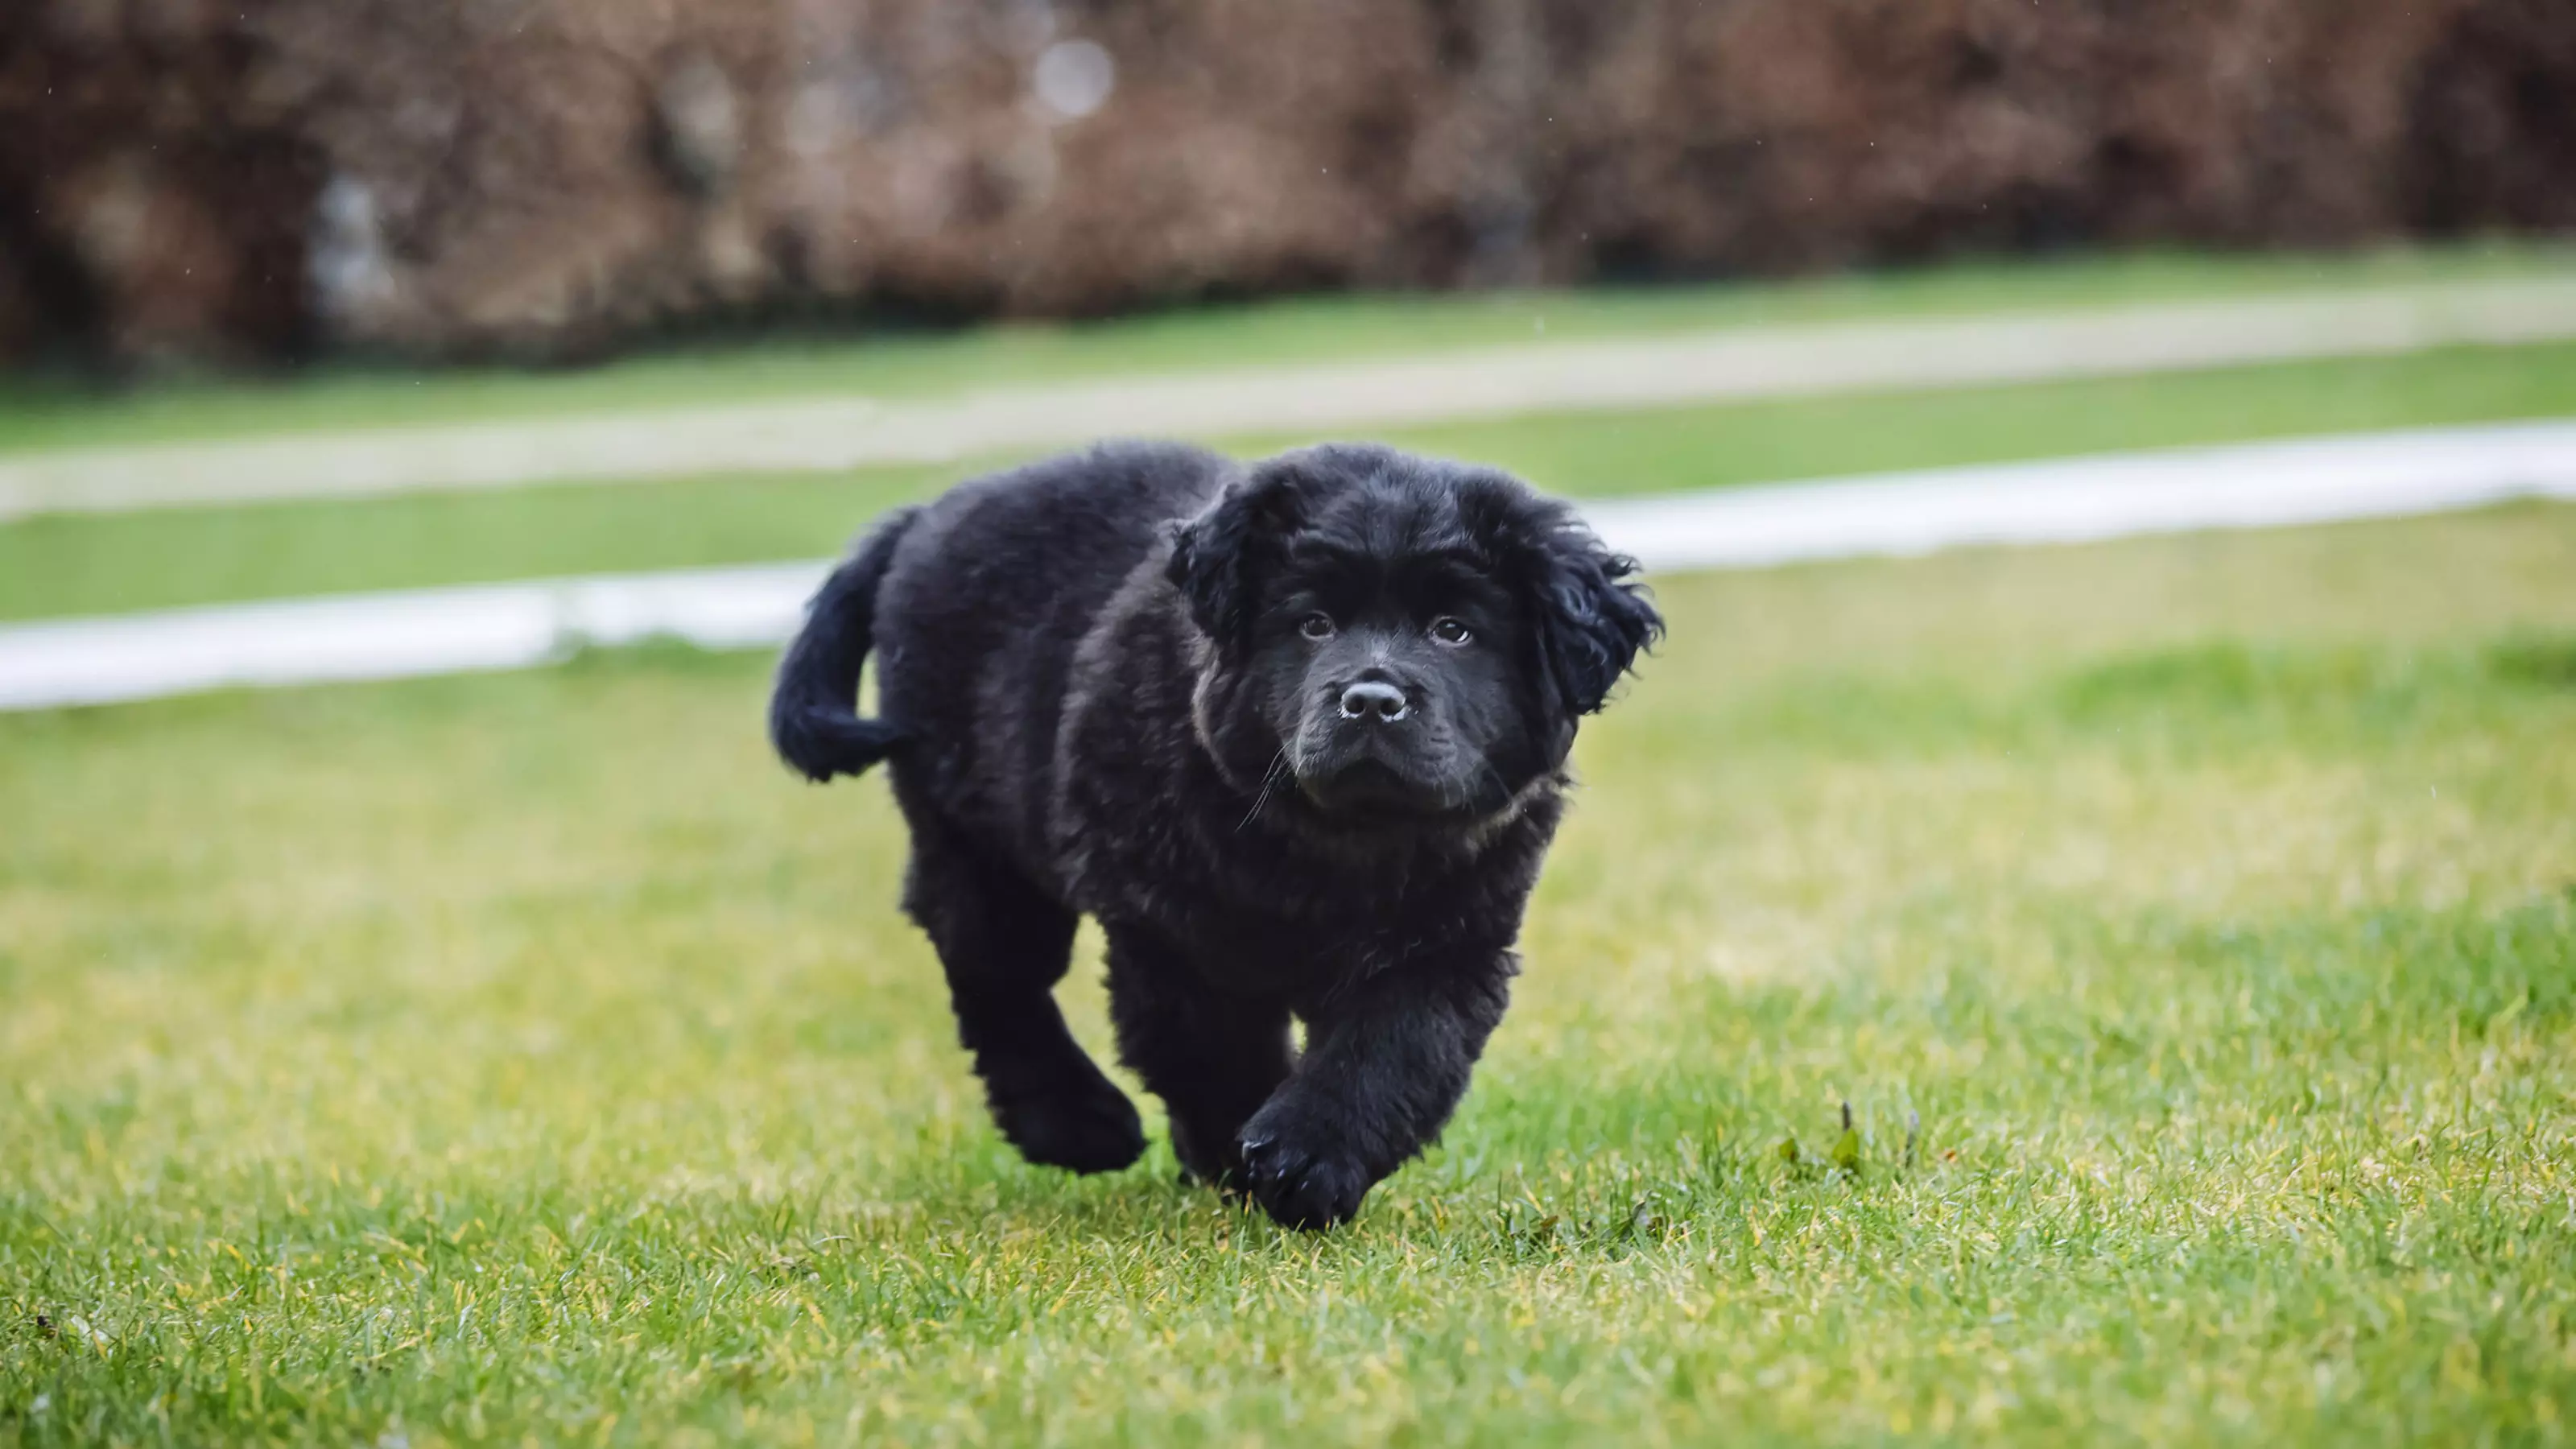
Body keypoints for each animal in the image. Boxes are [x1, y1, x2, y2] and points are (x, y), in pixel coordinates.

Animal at [762, 438, 1658, 1216]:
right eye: (1313, 624)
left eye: (1454, 631)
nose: (1370, 699)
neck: (1338, 847)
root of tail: (922, 517)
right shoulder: (1171, 934)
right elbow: (1214, 1054)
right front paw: (1242, 1162)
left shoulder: (1452, 937)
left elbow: (1391, 1053)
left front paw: (1306, 1161)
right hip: (975, 835)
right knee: (996, 979)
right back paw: (1078, 1126)